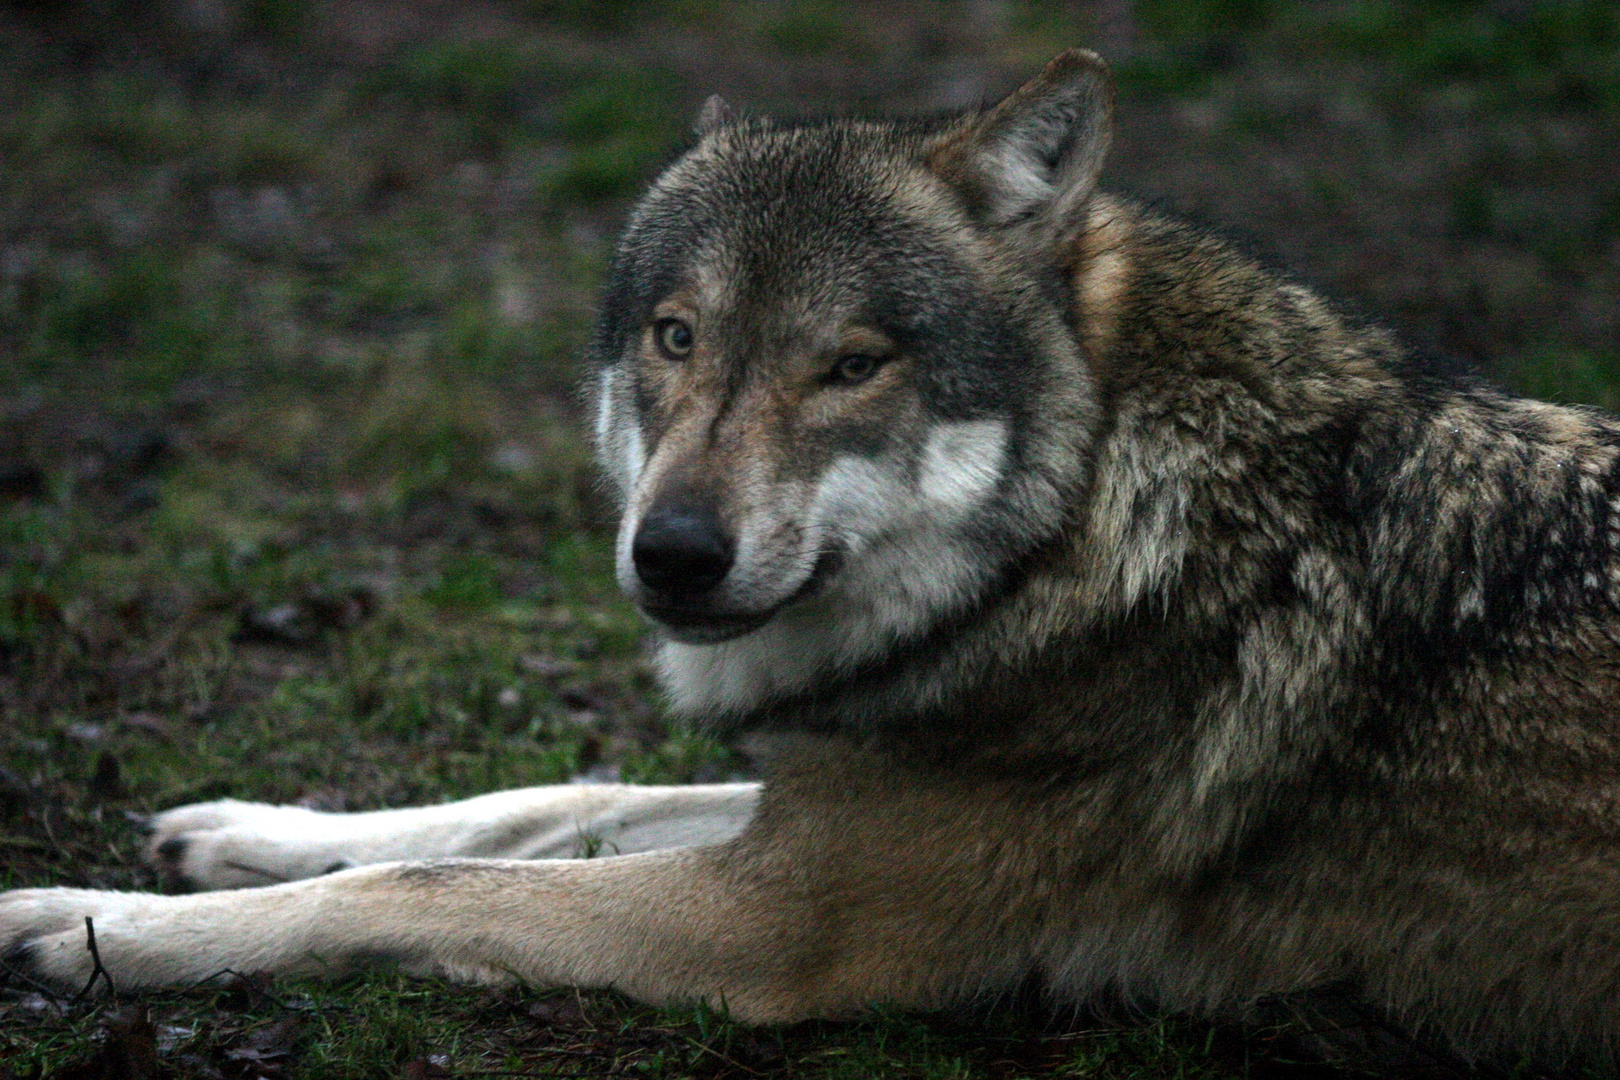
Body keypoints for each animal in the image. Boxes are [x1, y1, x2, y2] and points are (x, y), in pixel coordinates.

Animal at [3, 48, 1620, 1062]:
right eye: (676, 338)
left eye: (850, 365)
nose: (672, 554)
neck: (1077, 531)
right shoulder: (814, 799)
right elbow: (539, 800)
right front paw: (231, 831)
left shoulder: (777, 922)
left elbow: (412, 892)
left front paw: (85, 929)